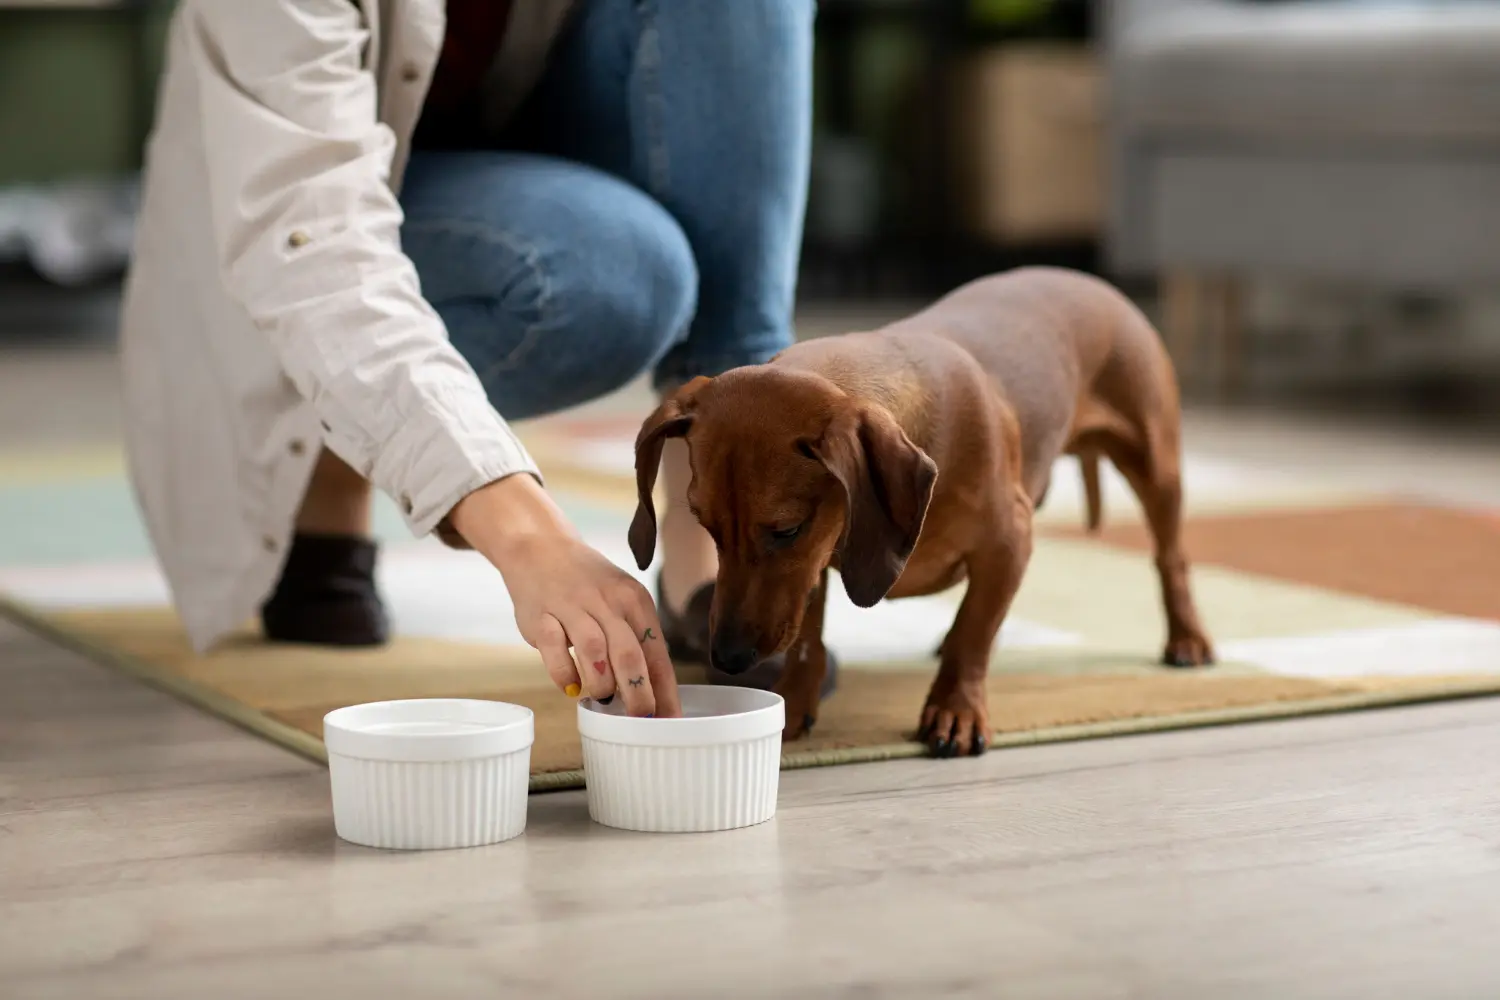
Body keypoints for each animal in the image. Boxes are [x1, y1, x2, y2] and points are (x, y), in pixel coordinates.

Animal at [627, 269, 1212, 755]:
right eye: (706, 526)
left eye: (787, 529)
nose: (727, 659)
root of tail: (1091, 280)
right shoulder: (816, 567)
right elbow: (809, 640)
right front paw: (793, 699)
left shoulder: (1009, 542)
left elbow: (973, 635)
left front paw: (956, 710)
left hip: (1155, 464)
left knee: (1171, 558)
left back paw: (1187, 638)